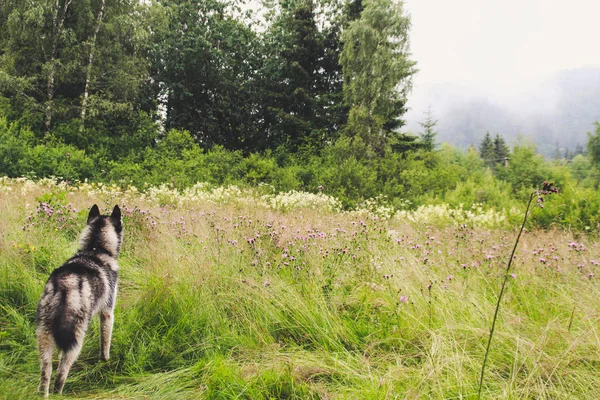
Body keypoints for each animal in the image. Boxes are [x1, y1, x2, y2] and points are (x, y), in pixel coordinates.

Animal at [36, 205, 123, 398]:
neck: (95, 249)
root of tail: (65, 285)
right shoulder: (107, 313)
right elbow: (105, 343)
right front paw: (106, 361)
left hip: (44, 335)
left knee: (46, 373)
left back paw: (43, 394)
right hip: (76, 339)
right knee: (61, 374)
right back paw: (58, 394)